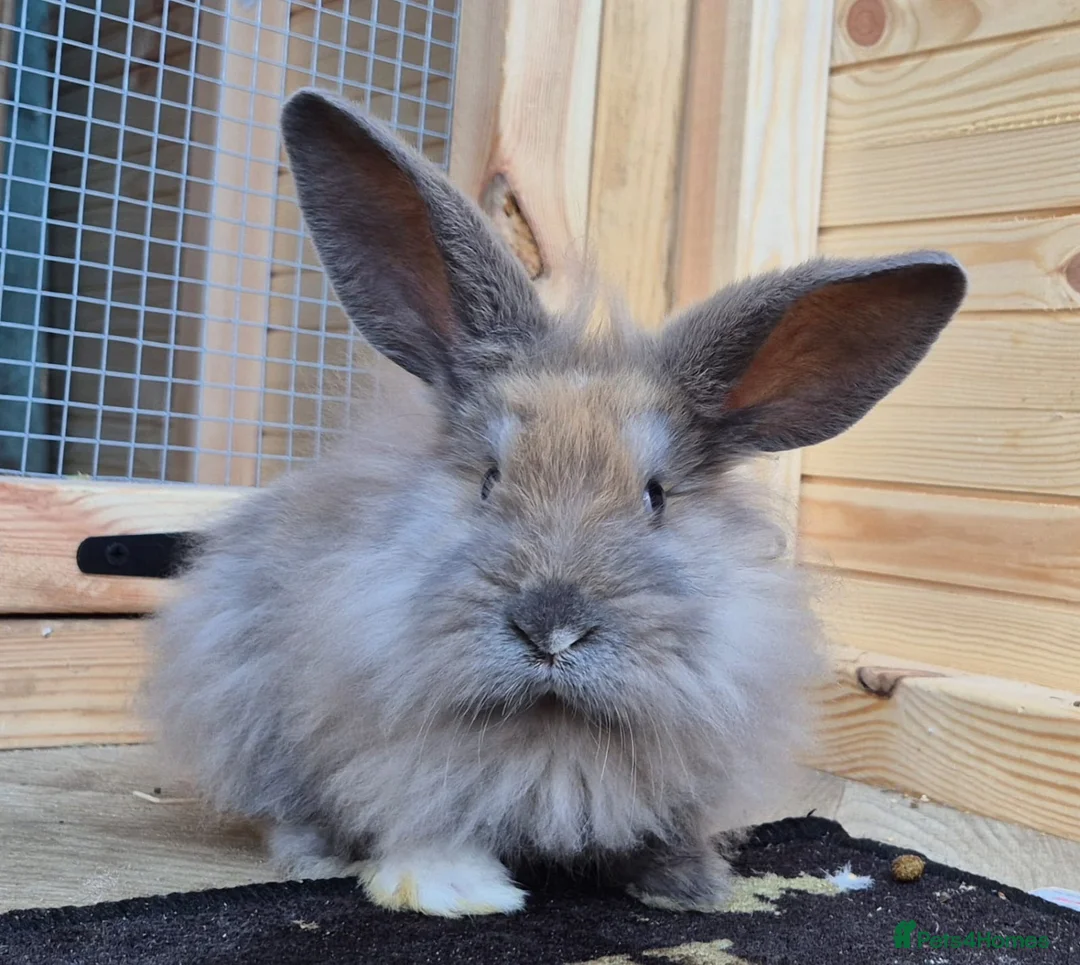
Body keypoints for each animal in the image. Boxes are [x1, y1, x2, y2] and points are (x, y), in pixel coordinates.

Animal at [146, 87, 967, 919]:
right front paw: (457, 888)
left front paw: (689, 887)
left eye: (656, 495)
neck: (555, 728)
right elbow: (423, 815)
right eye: (488, 478)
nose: (551, 628)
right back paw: (311, 855)